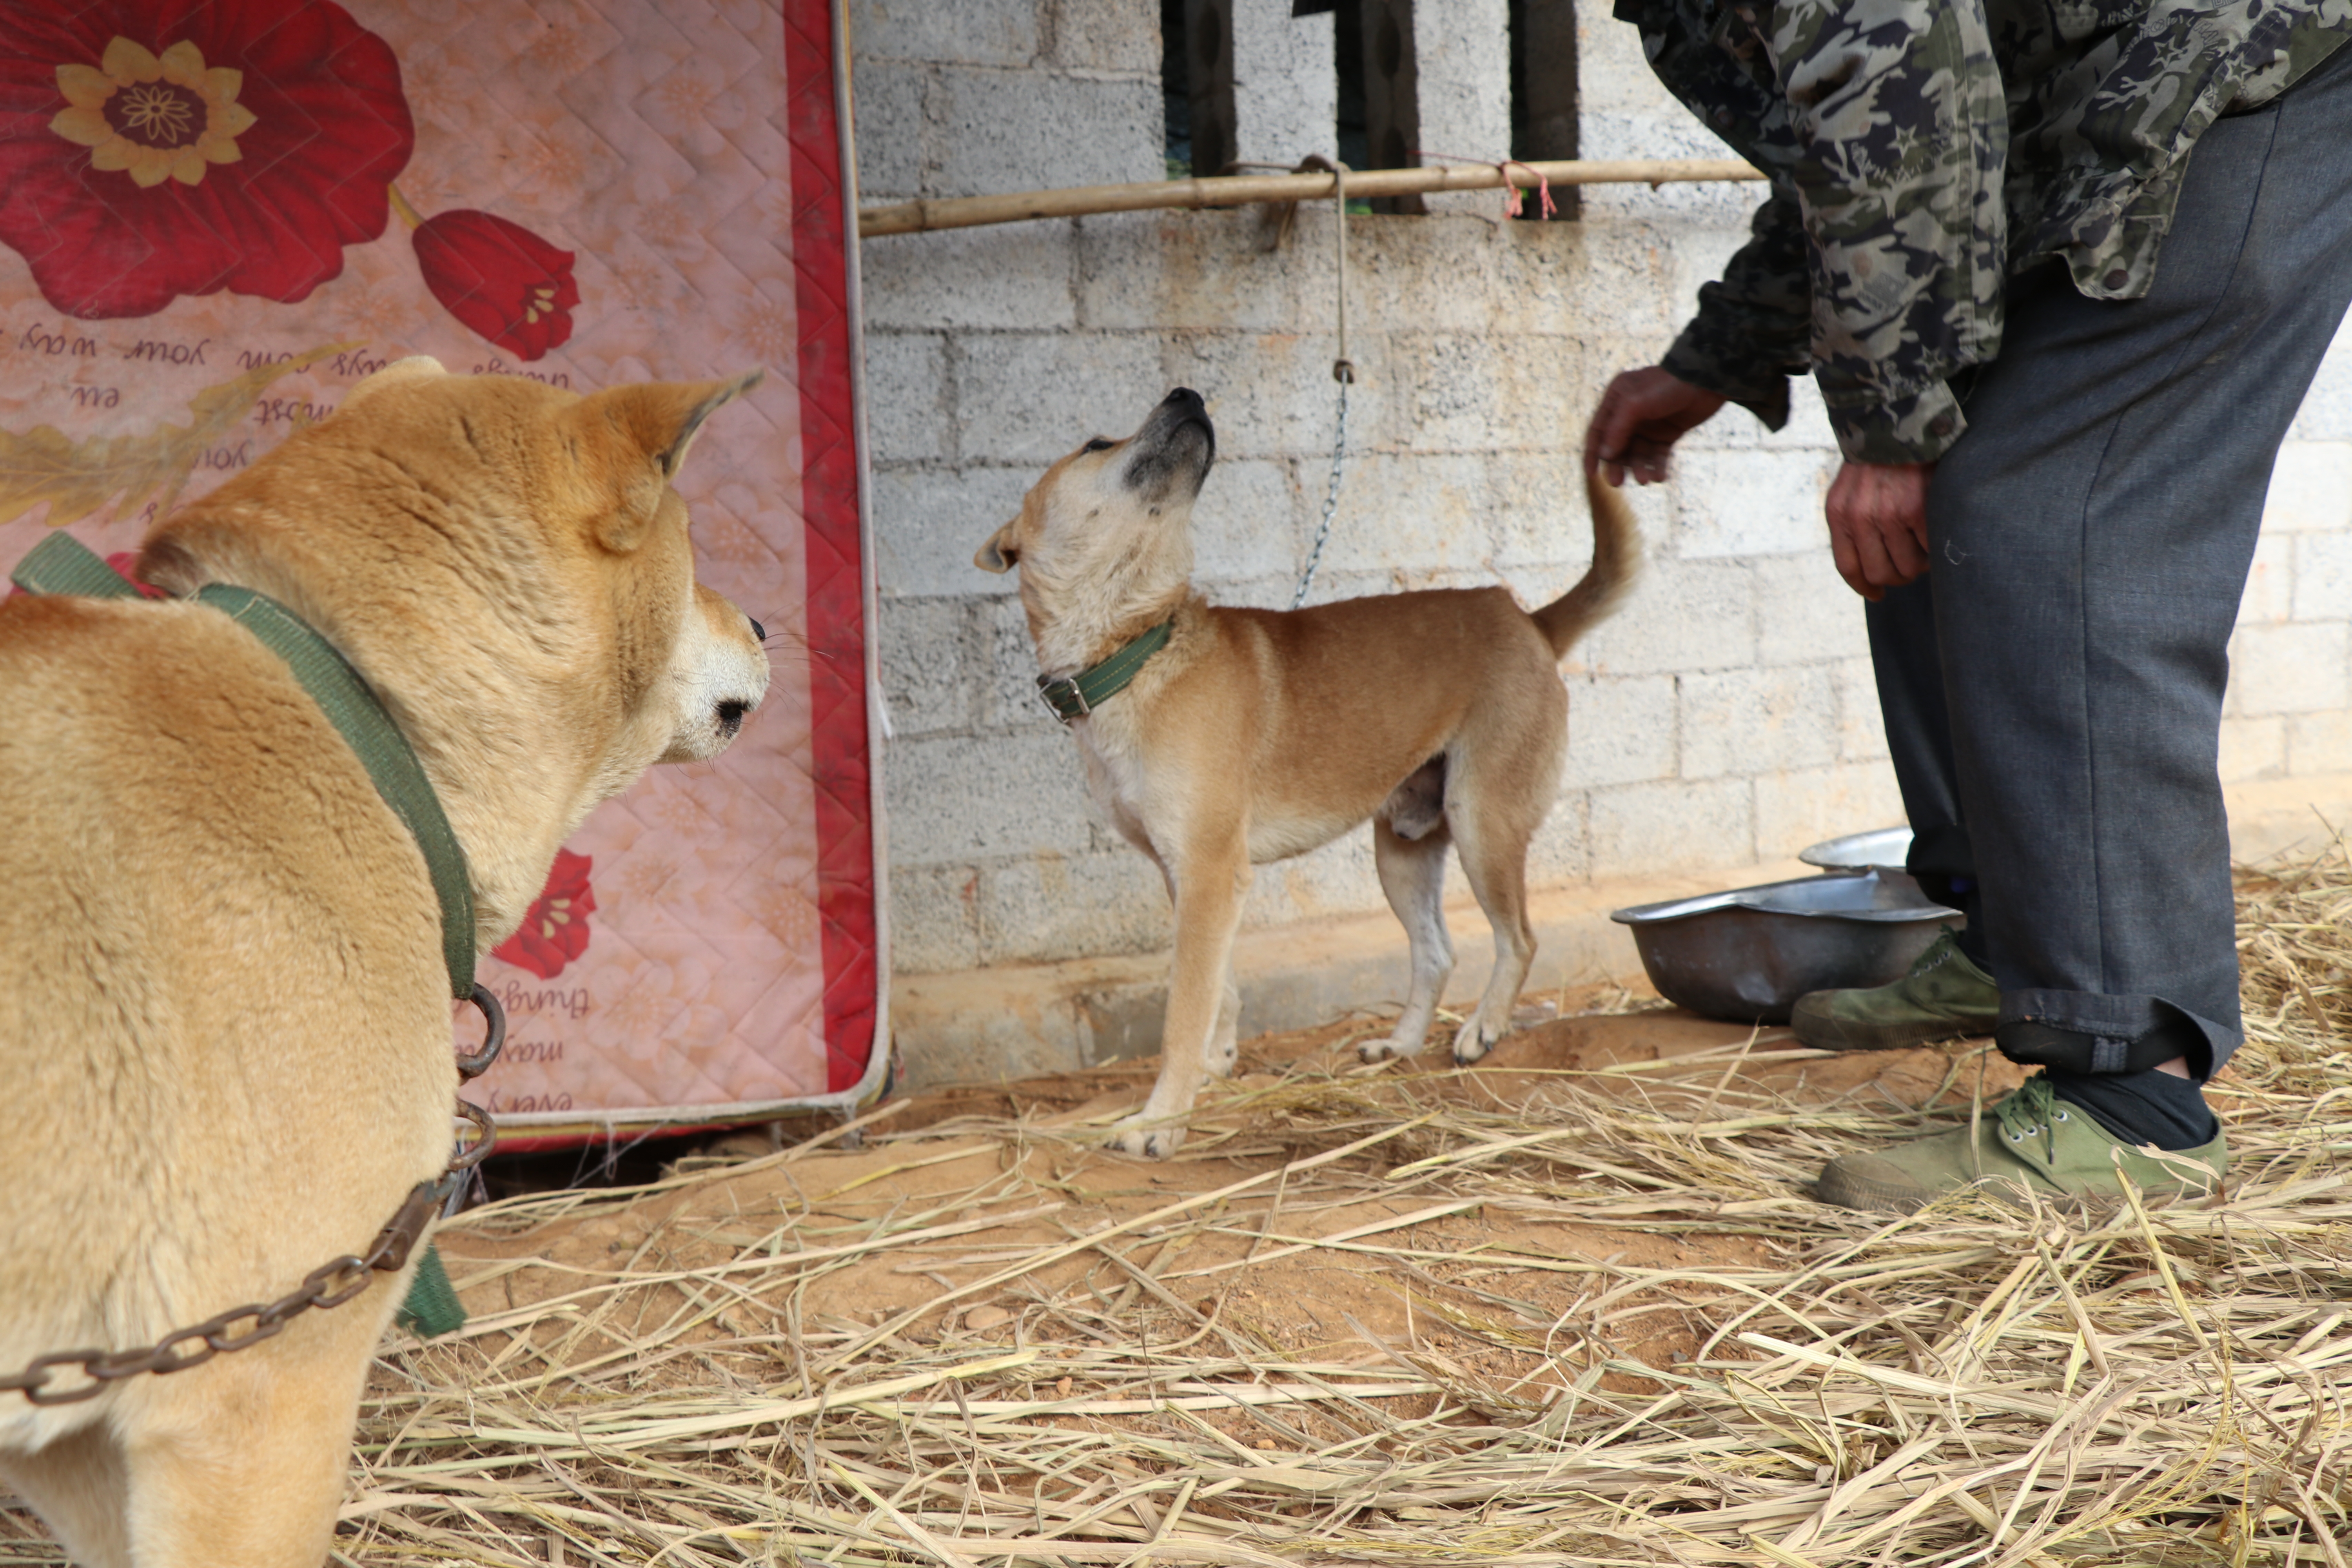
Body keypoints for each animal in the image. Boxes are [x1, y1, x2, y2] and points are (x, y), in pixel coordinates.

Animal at [974, 388, 1637, 1161]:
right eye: (1095, 444)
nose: (1188, 394)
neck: (1138, 651)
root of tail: (1525, 618)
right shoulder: (1188, 876)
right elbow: (1221, 989)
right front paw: (1216, 1065)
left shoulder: (1209, 874)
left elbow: (1182, 1012)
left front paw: (1160, 1120)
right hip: (1403, 849)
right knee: (1436, 955)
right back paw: (1402, 1044)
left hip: (1484, 825)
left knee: (1519, 939)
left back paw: (1483, 1029)